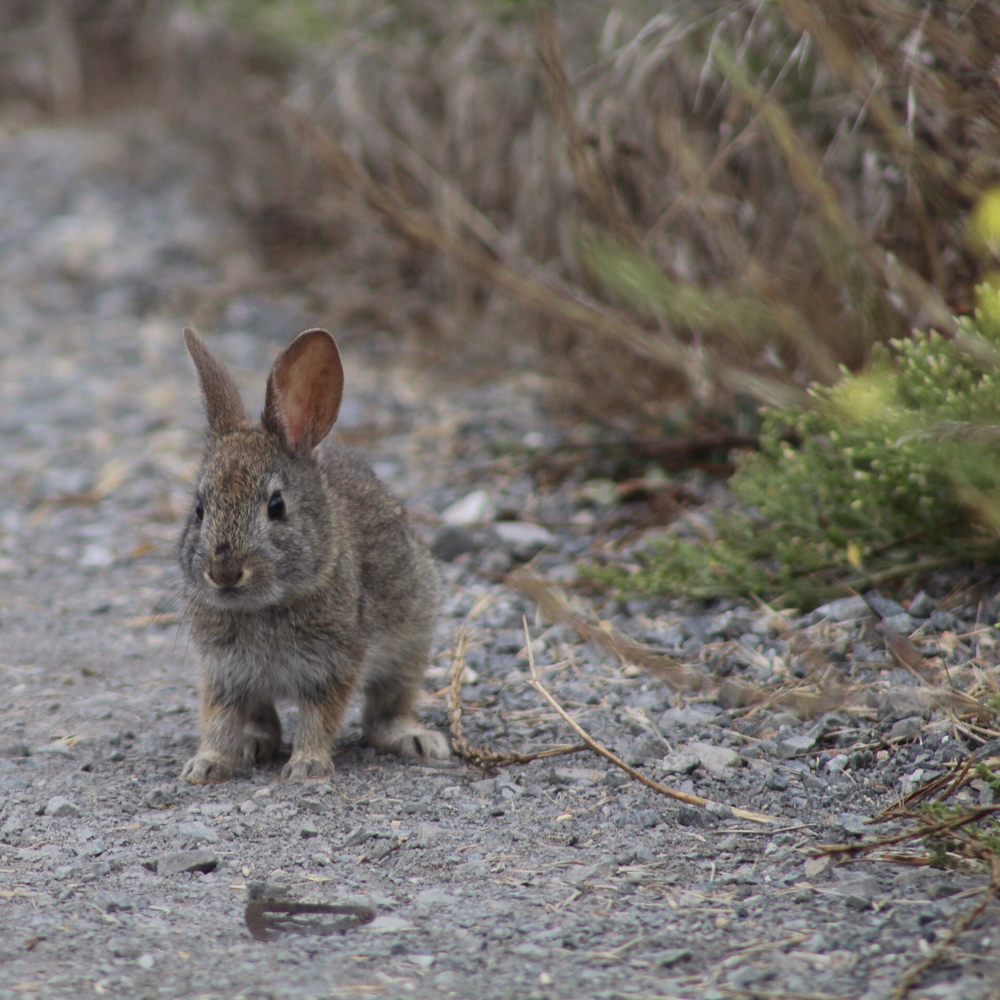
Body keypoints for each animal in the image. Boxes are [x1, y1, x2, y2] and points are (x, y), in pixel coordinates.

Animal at [177, 326, 450, 783]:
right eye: (199, 509)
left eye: (276, 507)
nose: (224, 572)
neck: (264, 606)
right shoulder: (224, 672)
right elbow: (219, 718)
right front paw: (206, 764)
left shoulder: (333, 666)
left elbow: (319, 717)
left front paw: (306, 766)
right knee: (264, 721)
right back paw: (252, 745)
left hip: (412, 640)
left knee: (386, 710)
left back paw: (416, 740)